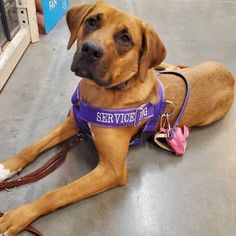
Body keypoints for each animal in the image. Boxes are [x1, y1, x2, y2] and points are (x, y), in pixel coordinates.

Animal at [0, 1, 233, 234]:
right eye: (91, 21)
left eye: (125, 38)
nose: (90, 49)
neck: (101, 91)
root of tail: (229, 74)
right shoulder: (72, 123)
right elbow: (32, 148)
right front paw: (6, 167)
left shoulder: (111, 170)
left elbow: (56, 193)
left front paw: (18, 215)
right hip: (175, 70)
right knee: (169, 68)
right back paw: (160, 67)